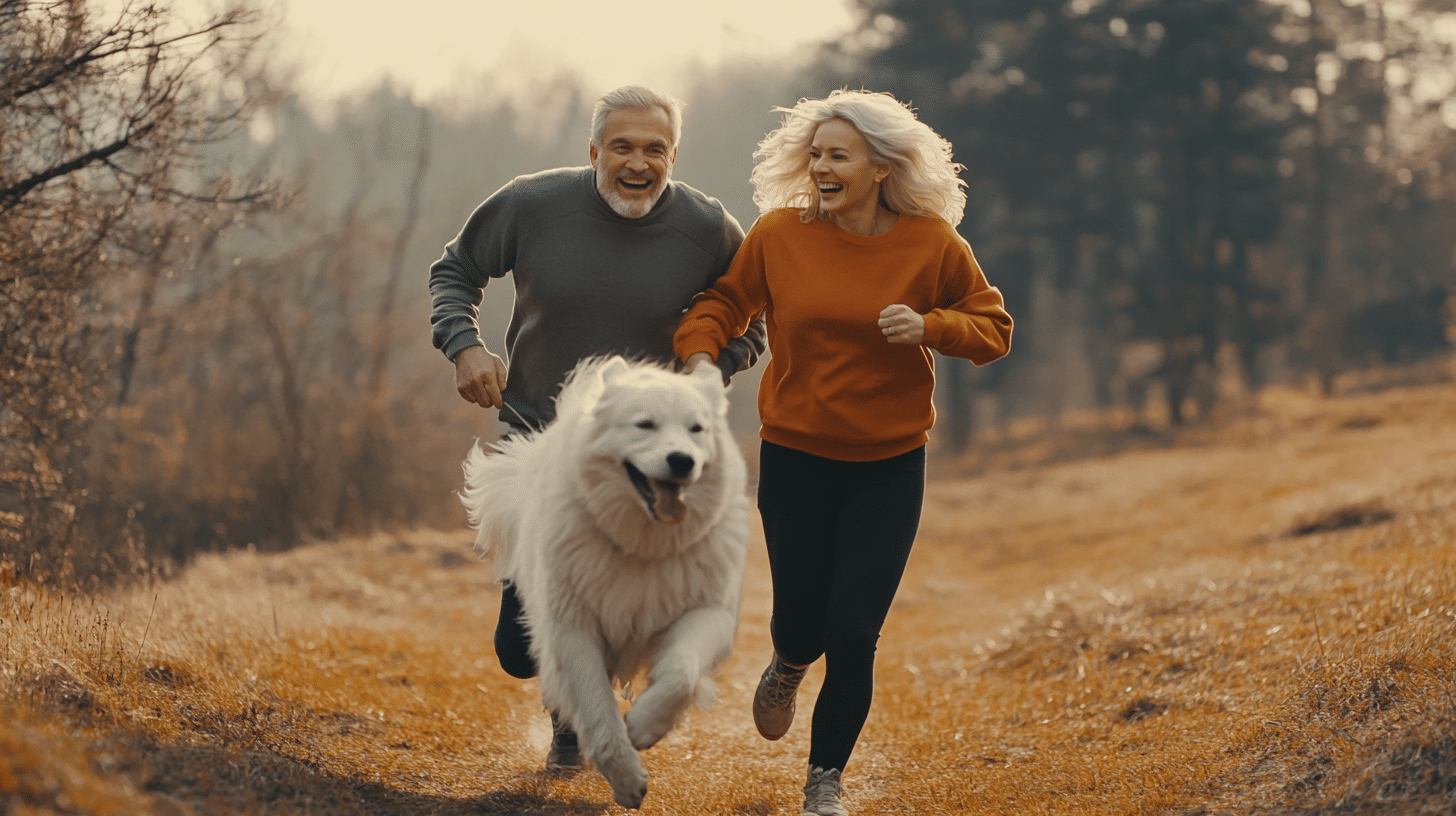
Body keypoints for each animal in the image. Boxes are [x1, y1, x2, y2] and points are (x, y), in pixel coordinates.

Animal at [457, 357, 751, 810]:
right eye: (645, 425)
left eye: (696, 429)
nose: (682, 461)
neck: (642, 545)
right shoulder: (573, 628)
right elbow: (596, 706)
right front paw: (626, 777)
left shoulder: (707, 613)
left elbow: (680, 675)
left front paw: (645, 726)